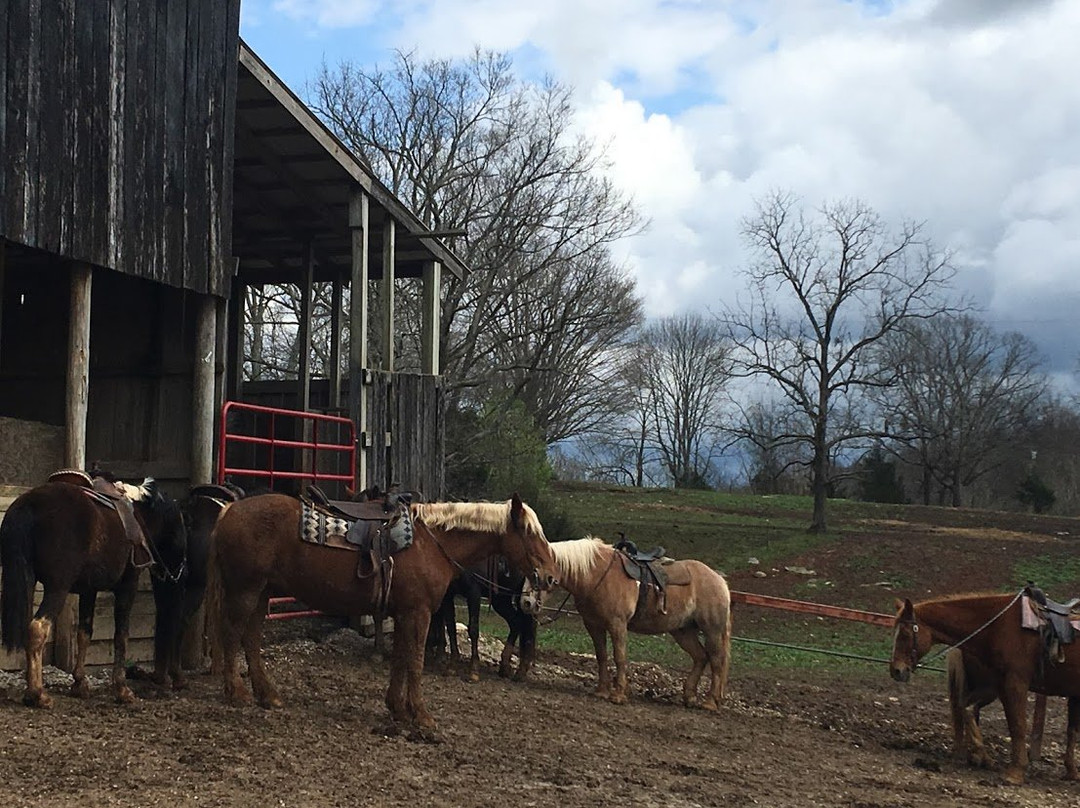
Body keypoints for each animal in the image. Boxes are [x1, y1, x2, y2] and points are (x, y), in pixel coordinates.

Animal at [0, 473, 186, 708]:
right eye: (182, 531)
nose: (180, 572)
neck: (139, 517)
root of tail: (29, 503)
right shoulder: (128, 586)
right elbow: (121, 635)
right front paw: (122, 689)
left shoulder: (89, 590)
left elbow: (84, 633)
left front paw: (80, 684)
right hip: (57, 588)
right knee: (37, 629)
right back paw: (37, 694)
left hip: (27, 580)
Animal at [204, 488, 557, 730]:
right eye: (529, 532)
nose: (551, 576)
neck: (431, 542)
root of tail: (230, 509)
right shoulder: (419, 613)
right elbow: (415, 661)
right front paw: (421, 715)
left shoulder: (403, 613)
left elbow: (400, 659)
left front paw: (397, 708)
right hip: (246, 590)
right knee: (233, 634)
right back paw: (237, 692)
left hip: (261, 592)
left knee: (250, 639)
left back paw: (267, 694)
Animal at [518, 540, 730, 708]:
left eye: (536, 573)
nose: (526, 603)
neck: (595, 574)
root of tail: (719, 580)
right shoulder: (593, 625)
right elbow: (602, 656)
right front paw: (602, 691)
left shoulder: (617, 624)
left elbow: (619, 657)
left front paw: (618, 694)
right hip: (682, 631)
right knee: (700, 657)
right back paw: (689, 696)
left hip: (712, 631)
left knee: (716, 661)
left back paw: (710, 702)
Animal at [885, 591, 1080, 782]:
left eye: (904, 634)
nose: (896, 670)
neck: (1000, 626)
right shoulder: (1007, 685)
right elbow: (1017, 724)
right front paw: (1017, 770)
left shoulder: (1015, 684)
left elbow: (1027, 725)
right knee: (967, 708)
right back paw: (981, 757)